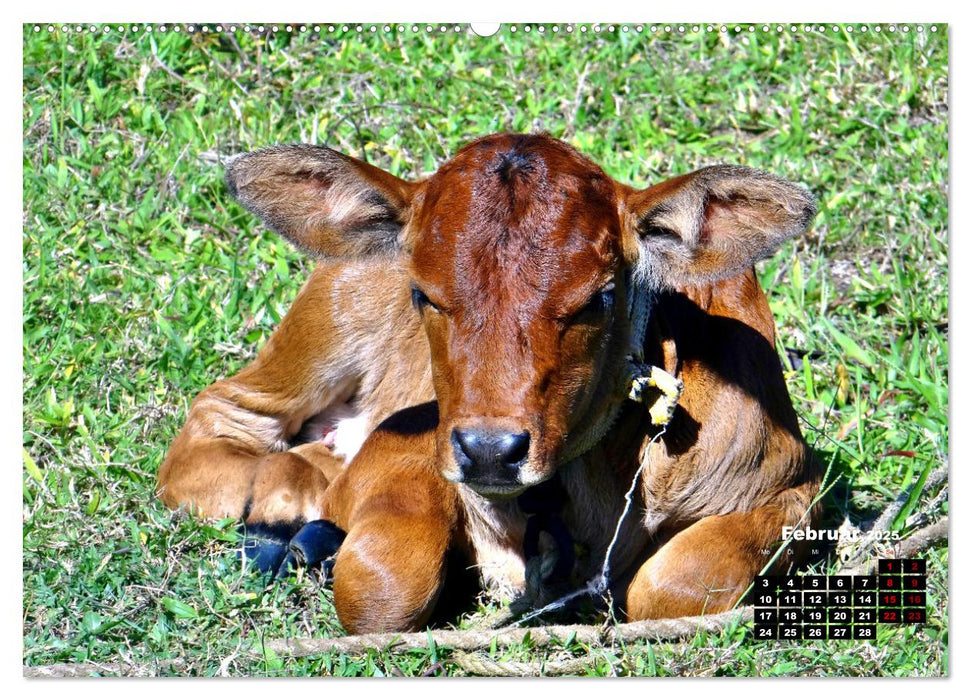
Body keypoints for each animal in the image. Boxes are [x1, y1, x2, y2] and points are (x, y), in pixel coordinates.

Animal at [158, 134, 820, 636]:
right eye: (424, 293)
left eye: (598, 298)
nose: (490, 452)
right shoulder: (407, 445)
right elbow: (382, 584)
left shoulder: (791, 487)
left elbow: (672, 586)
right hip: (327, 325)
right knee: (217, 419)